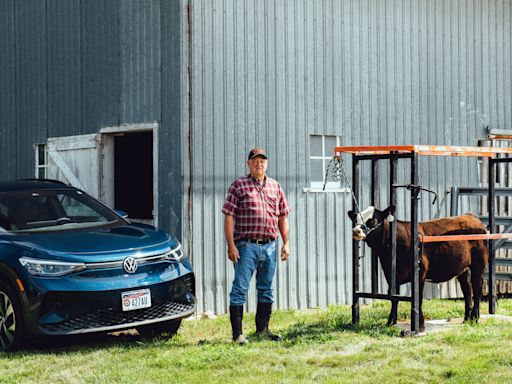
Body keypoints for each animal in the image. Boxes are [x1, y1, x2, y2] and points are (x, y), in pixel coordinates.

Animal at [348, 206, 488, 332]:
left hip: (479, 264)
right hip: (462, 268)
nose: (355, 231)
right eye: (356, 219)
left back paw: (475, 318)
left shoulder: (420, 274)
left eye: (372, 220)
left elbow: (418, 299)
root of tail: (470, 216)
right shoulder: (391, 275)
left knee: (477, 287)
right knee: (467, 289)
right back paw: (466, 319)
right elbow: (394, 299)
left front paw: (419, 325)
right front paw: (390, 323)